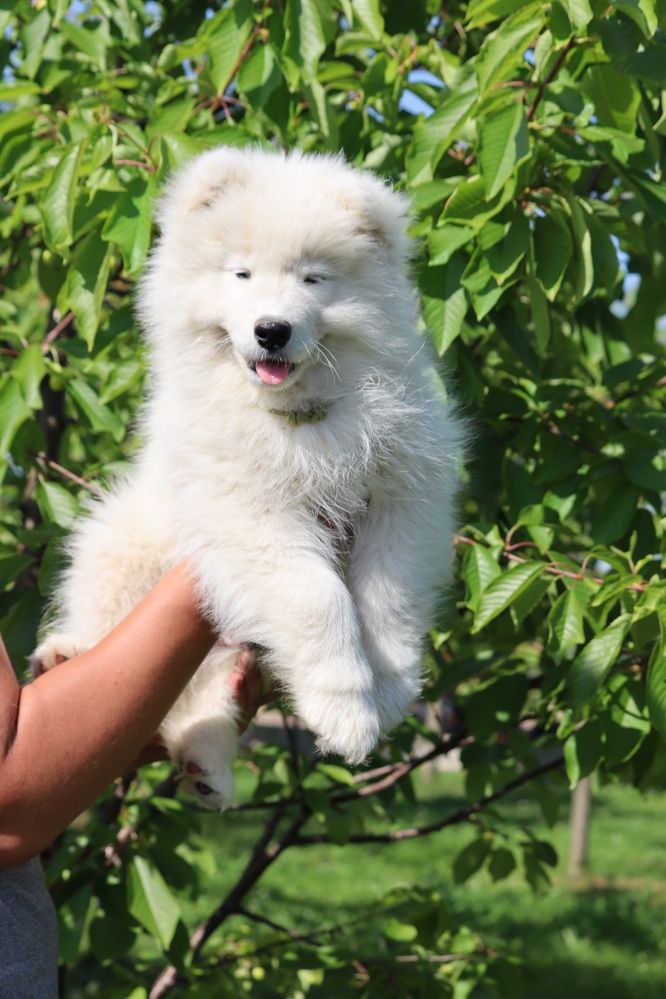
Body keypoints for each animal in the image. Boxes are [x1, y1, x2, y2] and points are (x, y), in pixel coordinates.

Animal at [35, 145, 462, 808]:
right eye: (241, 275)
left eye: (314, 279)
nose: (271, 329)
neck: (298, 417)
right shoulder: (245, 511)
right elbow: (319, 596)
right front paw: (346, 710)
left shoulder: (404, 498)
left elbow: (385, 596)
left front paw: (387, 688)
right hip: (124, 544)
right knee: (118, 638)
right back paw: (65, 652)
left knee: (203, 696)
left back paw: (207, 767)